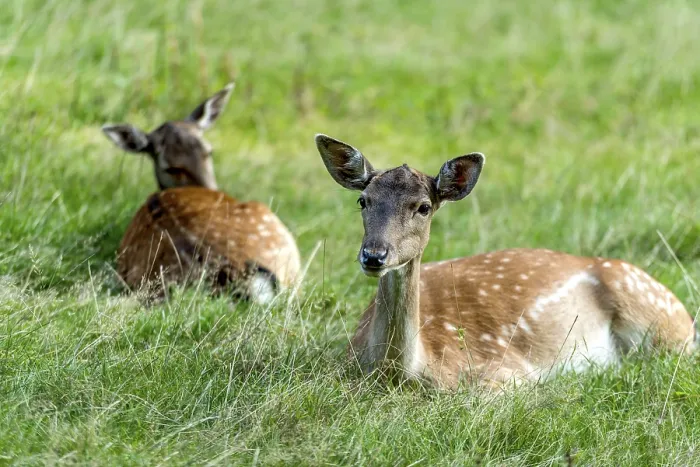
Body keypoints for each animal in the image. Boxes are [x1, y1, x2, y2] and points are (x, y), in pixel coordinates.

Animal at [315, 134, 697, 390]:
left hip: (660, 324)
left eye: (423, 207)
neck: (400, 372)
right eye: (363, 200)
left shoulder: (507, 373)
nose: (374, 255)